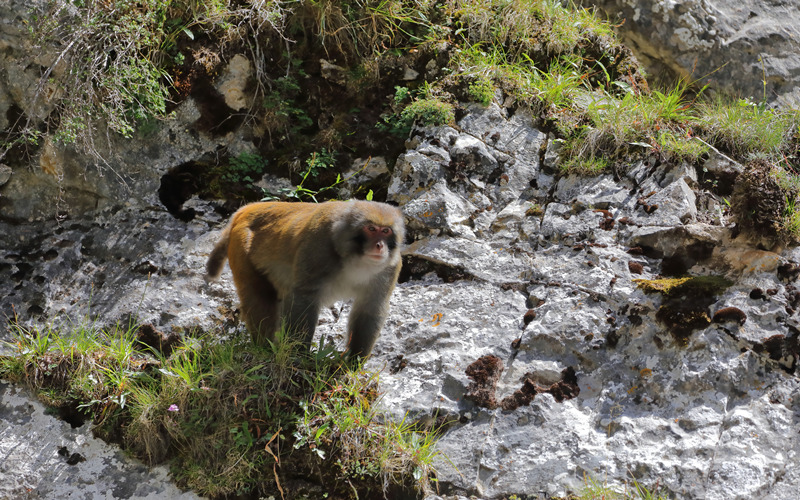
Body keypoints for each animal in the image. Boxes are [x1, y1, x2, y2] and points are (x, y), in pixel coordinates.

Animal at [206, 200, 406, 360]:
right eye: (371, 229)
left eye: (385, 231)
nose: (379, 246)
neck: (353, 258)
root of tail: (248, 209)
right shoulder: (317, 248)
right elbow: (304, 298)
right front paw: (299, 355)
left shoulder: (390, 267)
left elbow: (370, 307)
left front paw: (354, 360)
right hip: (242, 248)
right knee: (259, 297)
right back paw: (265, 349)